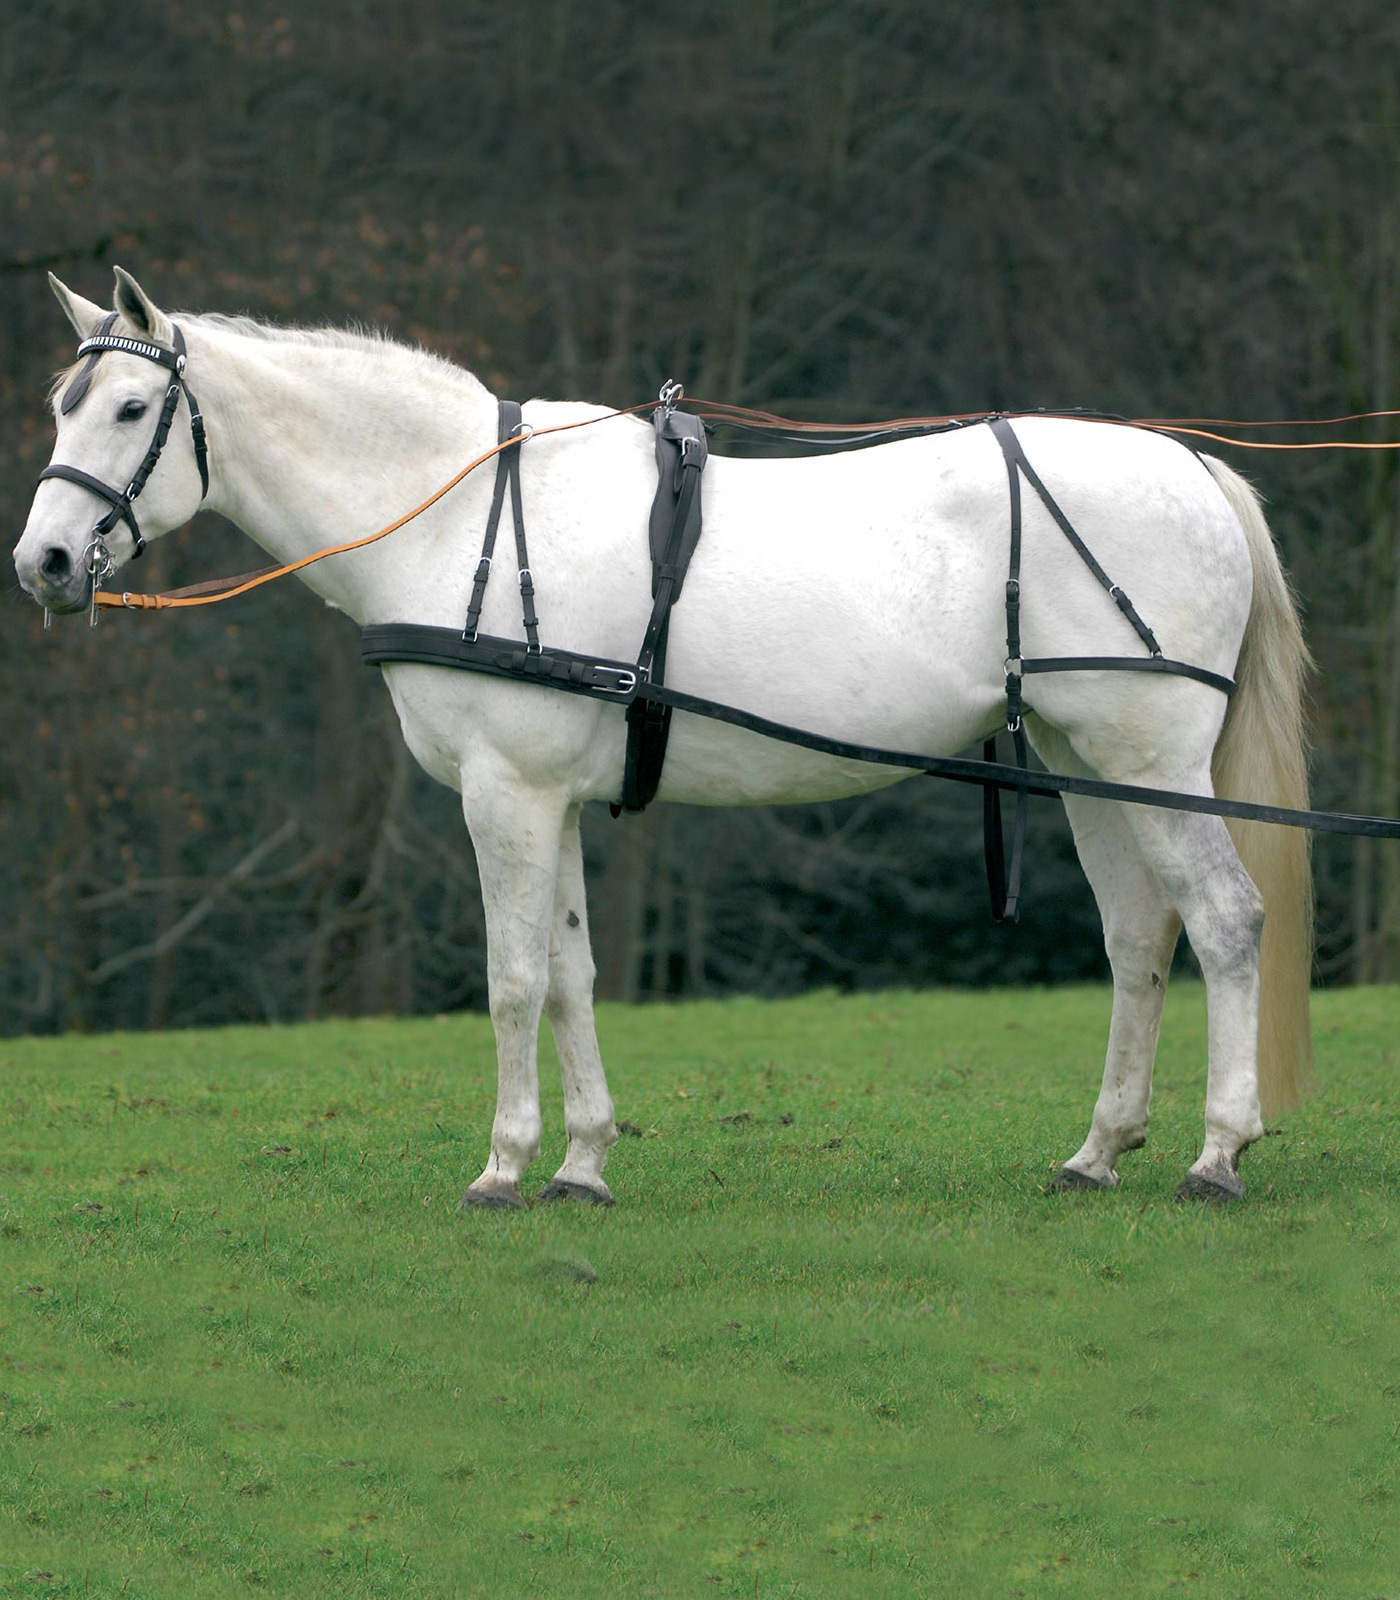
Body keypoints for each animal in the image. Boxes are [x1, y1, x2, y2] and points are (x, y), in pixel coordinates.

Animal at [13, 268, 1312, 1203]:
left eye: (131, 408)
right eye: (61, 407)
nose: (42, 563)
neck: (457, 515)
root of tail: (1193, 467)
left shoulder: (504, 794)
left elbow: (512, 979)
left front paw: (502, 1165)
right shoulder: (553, 797)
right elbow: (572, 976)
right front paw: (582, 1163)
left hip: (1151, 763)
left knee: (1225, 921)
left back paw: (1215, 1153)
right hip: (1092, 769)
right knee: (1138, 937)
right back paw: (1098, 1149)